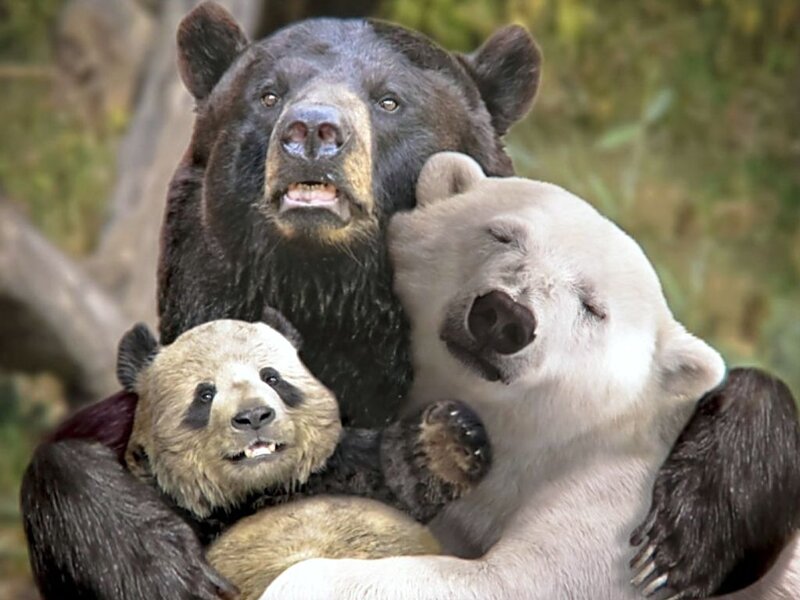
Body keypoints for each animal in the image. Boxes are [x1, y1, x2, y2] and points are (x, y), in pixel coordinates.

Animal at [117, 315, 491, 599]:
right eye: (205, 394)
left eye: (272, 377)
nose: (253, 416)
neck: (260, 491)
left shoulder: (340, 473)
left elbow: (401, 475)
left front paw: (456, 436)